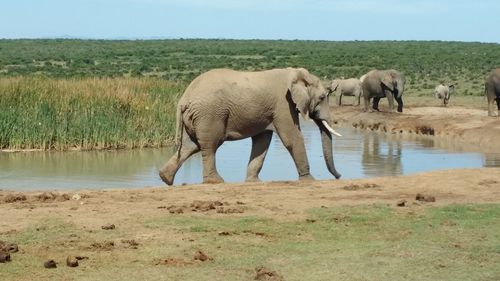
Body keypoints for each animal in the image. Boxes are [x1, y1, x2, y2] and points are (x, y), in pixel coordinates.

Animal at [160, 67, 344, 185]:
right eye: (322, 97)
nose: (339, 176)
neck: (295, 74)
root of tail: (184, 99)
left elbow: (262, 141)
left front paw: (253, 182)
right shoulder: (283, 104)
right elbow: (292, 137)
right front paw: (310, 180)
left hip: (197, 116)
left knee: (189, 146)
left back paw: (165, 178)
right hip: (209, 114)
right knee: (210, 145)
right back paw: (216, 181)